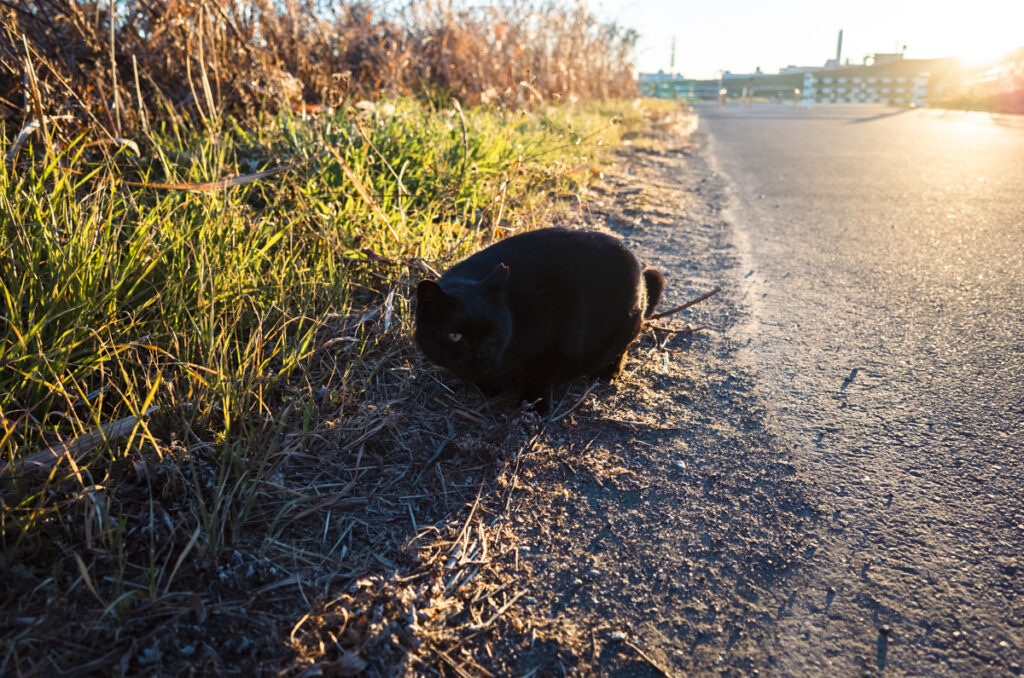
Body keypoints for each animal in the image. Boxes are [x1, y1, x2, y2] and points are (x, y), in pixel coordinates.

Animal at [413, 228, 663, 409]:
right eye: (456, 336)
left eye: (493, 332)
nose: (482, 356)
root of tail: (640, 272)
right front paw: (488, 386)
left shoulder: (553, 343)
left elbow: (538, 379)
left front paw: (533, 407)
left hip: (627, 323)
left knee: (622, 347)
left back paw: (609, 370)